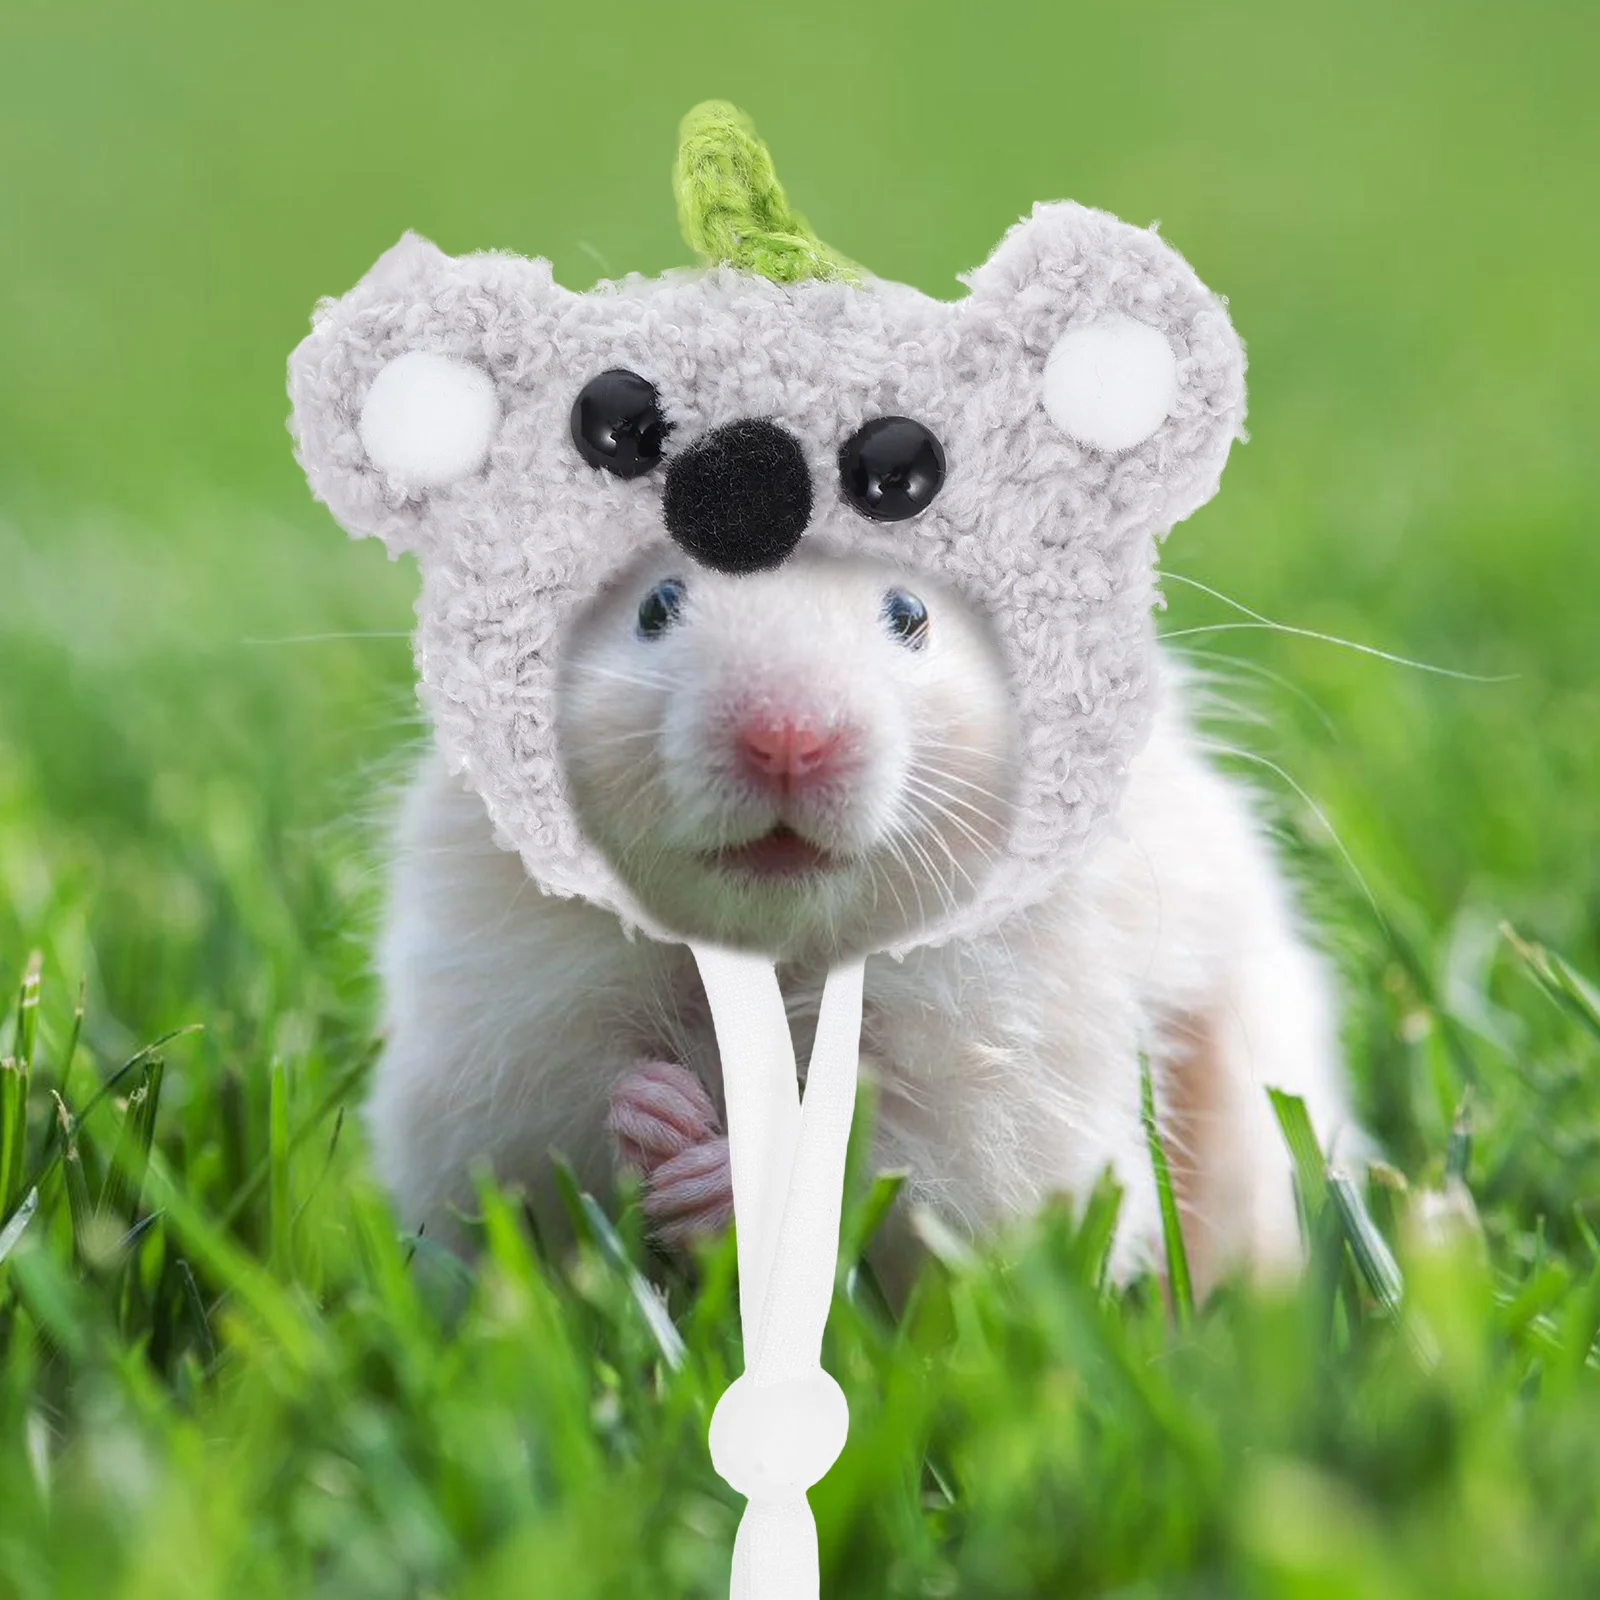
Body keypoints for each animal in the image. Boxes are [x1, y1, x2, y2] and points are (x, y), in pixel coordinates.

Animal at [365, 544, 1356, 1292]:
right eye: (658, 605)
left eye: (909, 613)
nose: (785, 739)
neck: (779, 948)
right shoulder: (493, 1053)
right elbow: (551, 1130)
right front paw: (661, 1112)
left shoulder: (1008, 1093)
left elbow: (899, 1170)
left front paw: (718, 1174)